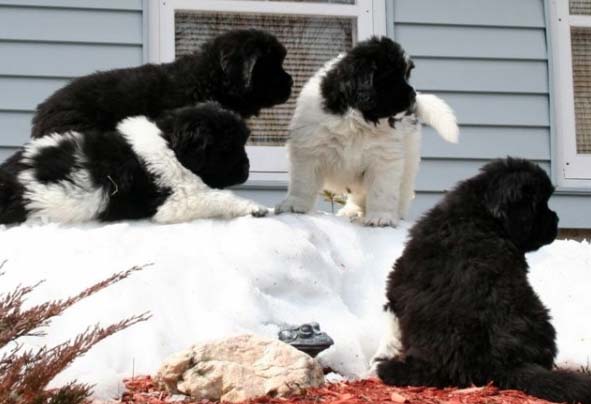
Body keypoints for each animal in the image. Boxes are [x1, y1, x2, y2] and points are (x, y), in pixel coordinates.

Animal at [0, 102, 268, 226]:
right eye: (228, 148)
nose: (247, 170)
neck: (171, 144)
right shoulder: (177, 201)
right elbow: (219, 197)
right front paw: (255, 207)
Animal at [276, 37, 460, 227]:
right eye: (391, 76)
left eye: (406, 75)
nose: (414, 96)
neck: (358, 120)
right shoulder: (309, 148)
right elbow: (303, 181)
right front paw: (294, 205)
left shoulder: (385, 158)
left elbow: (382, 189)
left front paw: (381, 217)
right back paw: (352, 211)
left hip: (409, 158)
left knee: (400, 190)